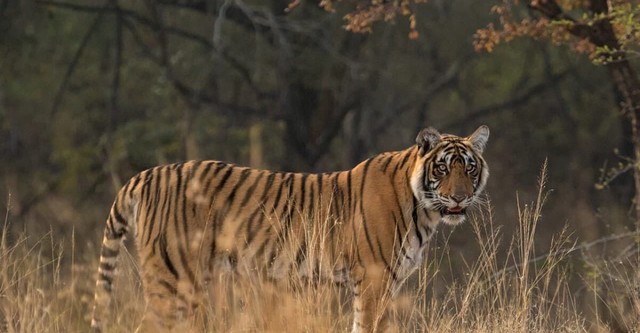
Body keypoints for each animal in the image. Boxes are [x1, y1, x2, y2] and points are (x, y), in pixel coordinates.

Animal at [90, 125, 490, 332]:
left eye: (469, 168)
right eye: (442, 168)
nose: (459, 198)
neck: (424, 210)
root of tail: (146, 174)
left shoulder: (384, 281)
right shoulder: (374, 277)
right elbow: (368, 326)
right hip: (171, 278)